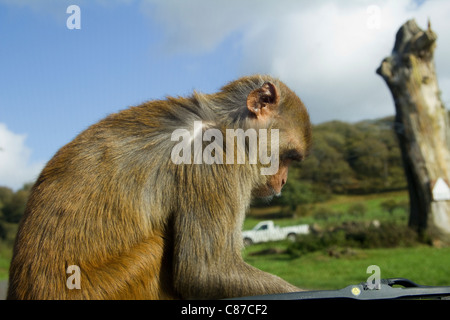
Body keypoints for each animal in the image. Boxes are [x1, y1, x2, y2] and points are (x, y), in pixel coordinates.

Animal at [7, 75, 312, 300]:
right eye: (288, 157)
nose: (283, 180)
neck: (227, 126)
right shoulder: (214, 156)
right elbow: (205, 272)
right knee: (155, 247)